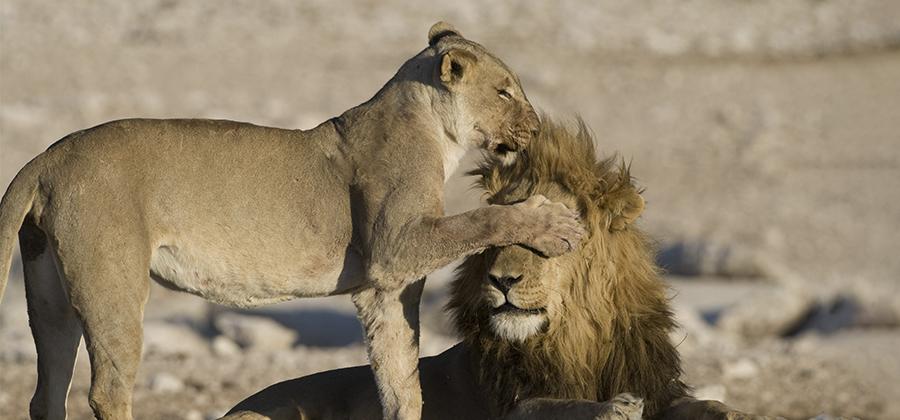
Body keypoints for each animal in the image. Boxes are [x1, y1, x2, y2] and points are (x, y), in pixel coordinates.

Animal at [0, 22, 584, 420]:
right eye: (505, 91)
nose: (536, 126)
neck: (431, 129)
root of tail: (46, 157)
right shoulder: (395, 245)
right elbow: (483, 218)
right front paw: (553, 223)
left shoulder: (385, 288)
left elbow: (400, 381)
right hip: (113, 282)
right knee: (107, 390)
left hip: (49, 292)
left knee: (46, 393)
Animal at [221, 117, 764, 420]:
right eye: (499, 231)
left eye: (559, 232)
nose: (503, 280)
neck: (576, 342)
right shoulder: (509, 404)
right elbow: (551, 406)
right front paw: (614, 408)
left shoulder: (657, 384)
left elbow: (705, 406)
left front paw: (738, 412)